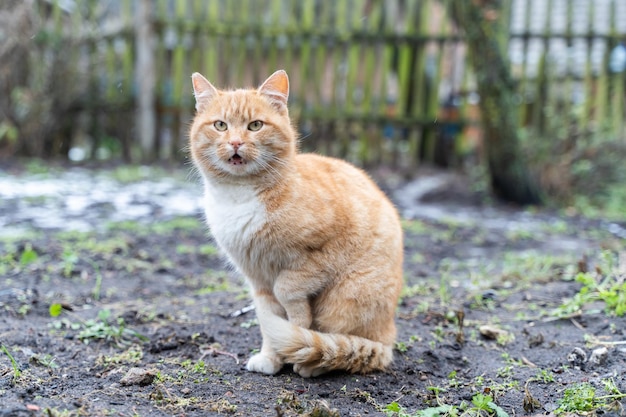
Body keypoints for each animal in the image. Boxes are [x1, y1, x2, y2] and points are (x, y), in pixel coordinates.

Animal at [188, 69, 402, 376]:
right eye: (220, 125)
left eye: (255, 126)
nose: (236, 143)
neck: (239, 196)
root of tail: (389, 338)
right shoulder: (258, 279)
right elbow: (269, 320)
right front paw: (272, 357)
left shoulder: (324, 252)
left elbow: (289, 297)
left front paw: (295, 342)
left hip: (345, 300)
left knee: (346, 344)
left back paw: (313, 363)